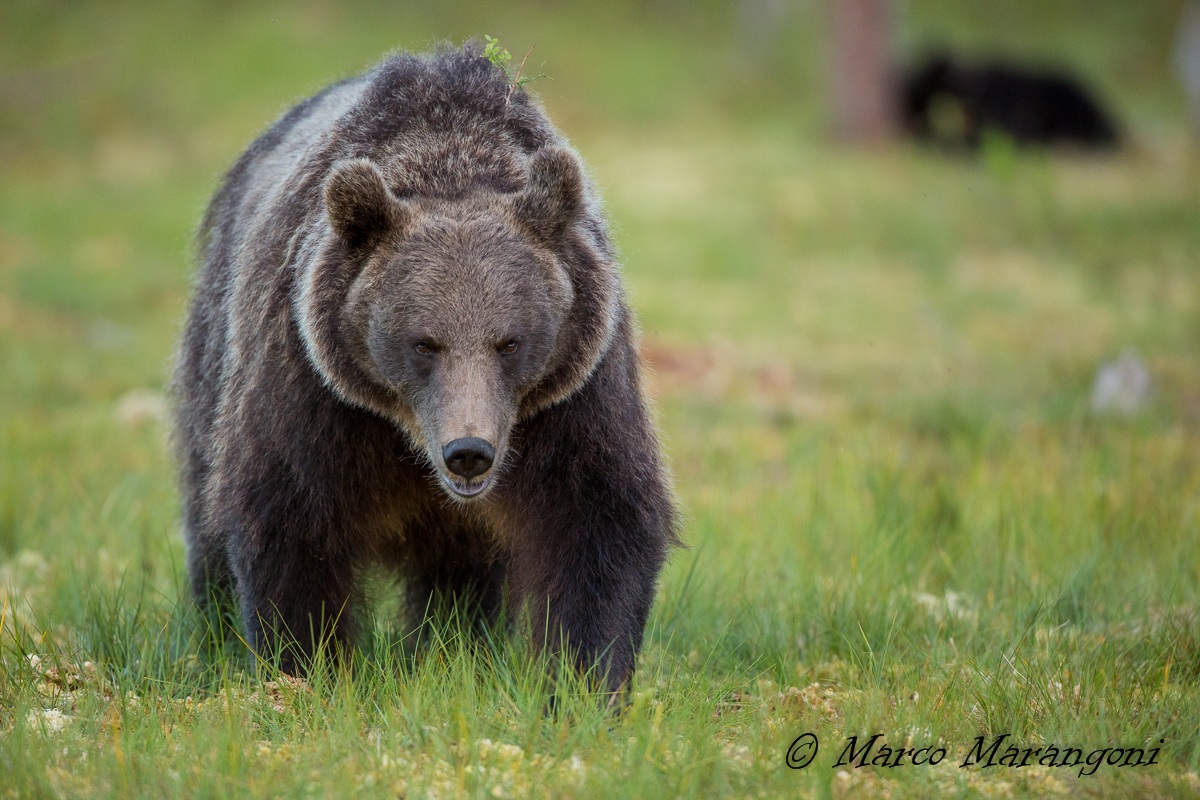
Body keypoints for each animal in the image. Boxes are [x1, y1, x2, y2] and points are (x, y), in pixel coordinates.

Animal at [172, 43, 677, 694]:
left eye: (509, 342)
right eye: (423, 343)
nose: (469, 452)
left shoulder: (576, 393)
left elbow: (600, 518)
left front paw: (583, 683)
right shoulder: (309, 385)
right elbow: (288, 518)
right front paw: (306, 671)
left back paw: (455, 649)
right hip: (213, 354)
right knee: (206, 510)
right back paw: (215, 636)